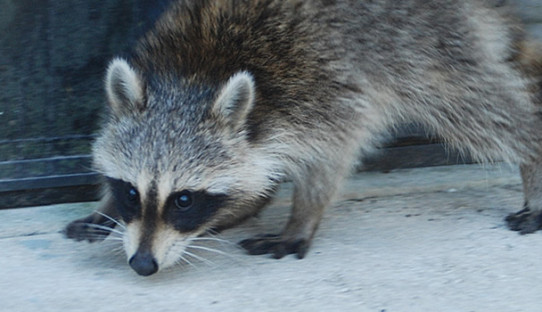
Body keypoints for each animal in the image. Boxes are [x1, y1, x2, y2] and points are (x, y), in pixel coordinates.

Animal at [66, 0, 542, 276]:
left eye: (183, 199)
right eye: (131, 191)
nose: (143, 265)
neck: (195, 71)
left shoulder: (324, 92)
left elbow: (329, 160)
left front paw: (301, 218)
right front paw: (106, 208)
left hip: (426, 46)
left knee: (480, 108)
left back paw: (534, 160)